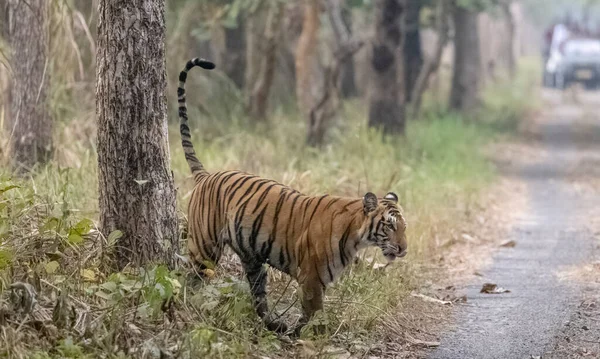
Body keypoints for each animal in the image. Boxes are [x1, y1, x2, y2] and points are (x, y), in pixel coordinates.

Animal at [179, 58, 408, 338]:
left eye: (405, 228)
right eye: (390, 226)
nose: (404, 249)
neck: (357, 235)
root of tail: (206, 175)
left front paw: (300, 333)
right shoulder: (312, 277)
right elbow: (314, 311)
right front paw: (313, 336)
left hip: (252, 258)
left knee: (258, 296)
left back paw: (274, 325)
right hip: (205, 245)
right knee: (192, 277)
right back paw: (191, 308)